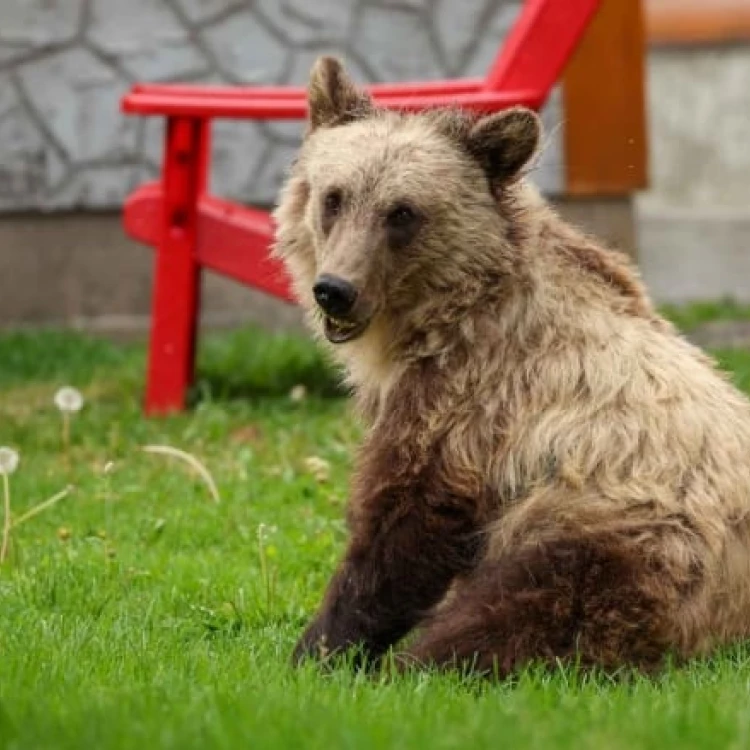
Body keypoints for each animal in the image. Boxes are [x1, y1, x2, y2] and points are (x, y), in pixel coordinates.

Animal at [274, 58, 750, 680]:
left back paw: (422, 662)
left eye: (402, 212)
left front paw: (319, 651)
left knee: (527, 608)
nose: (335, 290)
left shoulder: (476, 397)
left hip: (627, 536)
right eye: (334, 197)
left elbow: (404, 525)